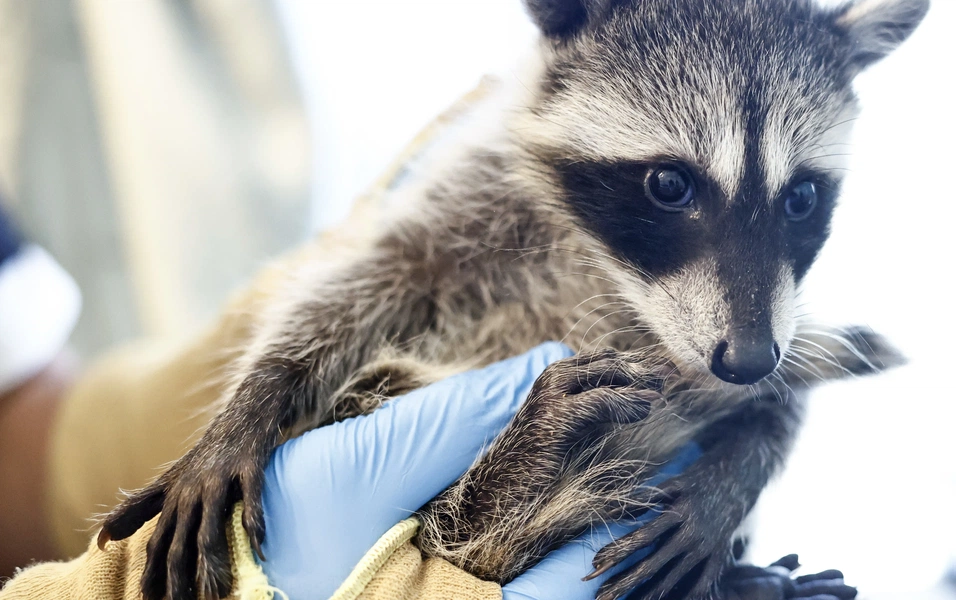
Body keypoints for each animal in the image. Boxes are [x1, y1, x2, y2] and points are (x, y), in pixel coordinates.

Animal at [97, 0, 928, 599]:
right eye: (669, 184)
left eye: (803, 198)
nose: (749, 360)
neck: (607, 274)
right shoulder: (465, 200)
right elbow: (347, 288)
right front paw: (250, 406)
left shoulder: (762, 319)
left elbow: (782, 394)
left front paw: (735, 476)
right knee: (441, 509)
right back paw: (519, 462)